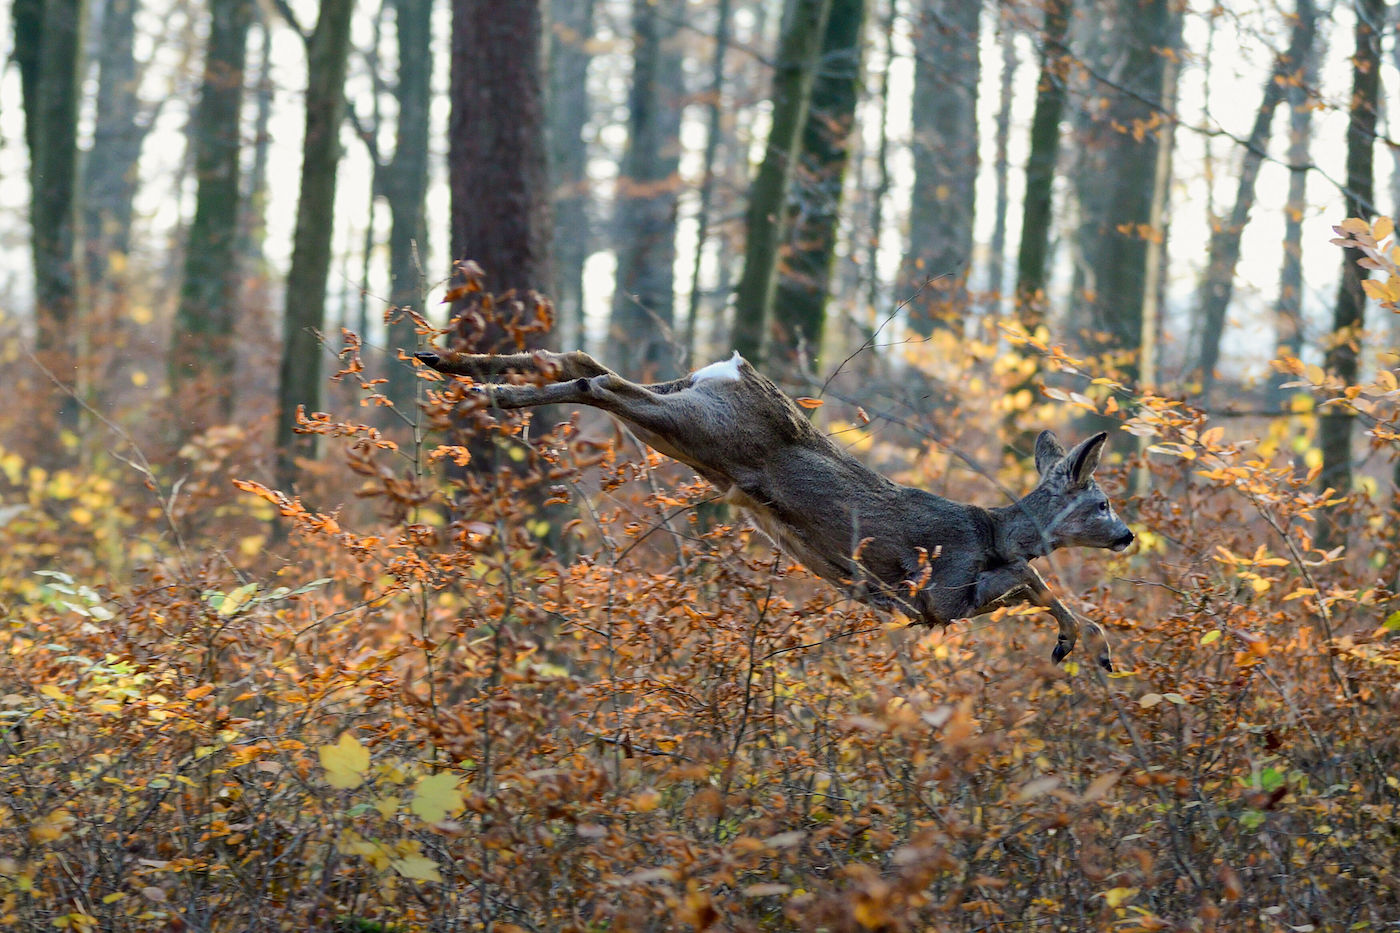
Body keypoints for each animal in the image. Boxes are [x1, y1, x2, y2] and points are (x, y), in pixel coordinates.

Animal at [416, 347, 1134, 670]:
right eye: (1101, 501)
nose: (1128, 536)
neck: (996, 531)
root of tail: (731, 369)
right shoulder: (938, 594)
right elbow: (1034, 580)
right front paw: (1084, 644)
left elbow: (1037, 583)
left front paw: (1082, 644)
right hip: (699, 428)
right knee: (599, 379)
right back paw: (487, 391)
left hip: (684, 421)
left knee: (581, 359)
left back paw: (452, 365)